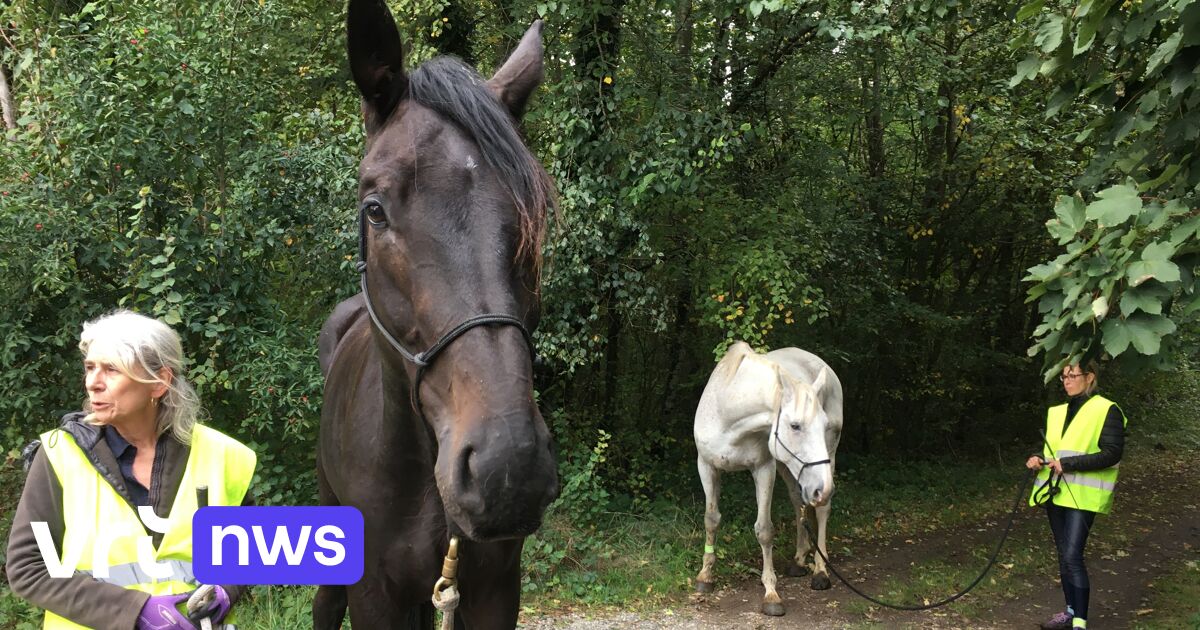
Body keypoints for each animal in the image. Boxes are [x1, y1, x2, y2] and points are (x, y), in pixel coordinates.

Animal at [696, 338, 844, 614]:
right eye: (795, 425)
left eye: (824, 425)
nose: (823, 488)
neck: (727, 413)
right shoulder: (707, 466)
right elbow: (711, 520)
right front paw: (705, 576)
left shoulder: (764, 469)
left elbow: (764, 530)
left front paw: (771, 594)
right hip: (791, 468)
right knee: (798, 501)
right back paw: (798, 561)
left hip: (822, 460)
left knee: (821, 510)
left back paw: (820, 572)